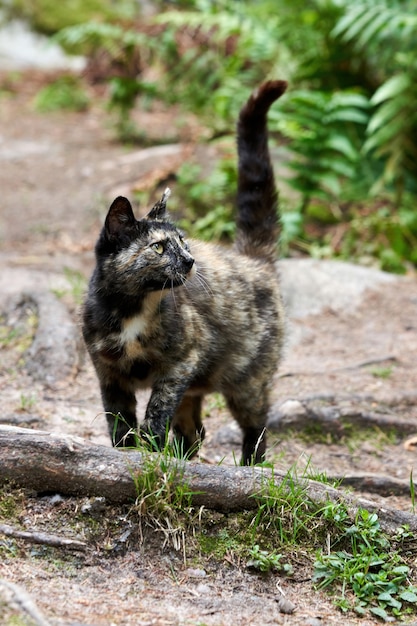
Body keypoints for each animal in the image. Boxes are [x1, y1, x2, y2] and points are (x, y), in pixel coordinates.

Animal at [83, 79, 288, 464]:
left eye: (183, 241)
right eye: (159, 247)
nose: (191, 261)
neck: (133, 309)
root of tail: (253, 260)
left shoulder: (181, 362)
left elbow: (156, 410)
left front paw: (149, 447)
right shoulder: (109, 374)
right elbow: (119, 422)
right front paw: (127, 454)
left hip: (246, 381)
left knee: (257, 427)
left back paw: (249, 467)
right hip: (197, 389)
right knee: (195, 432)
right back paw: (181, 458)